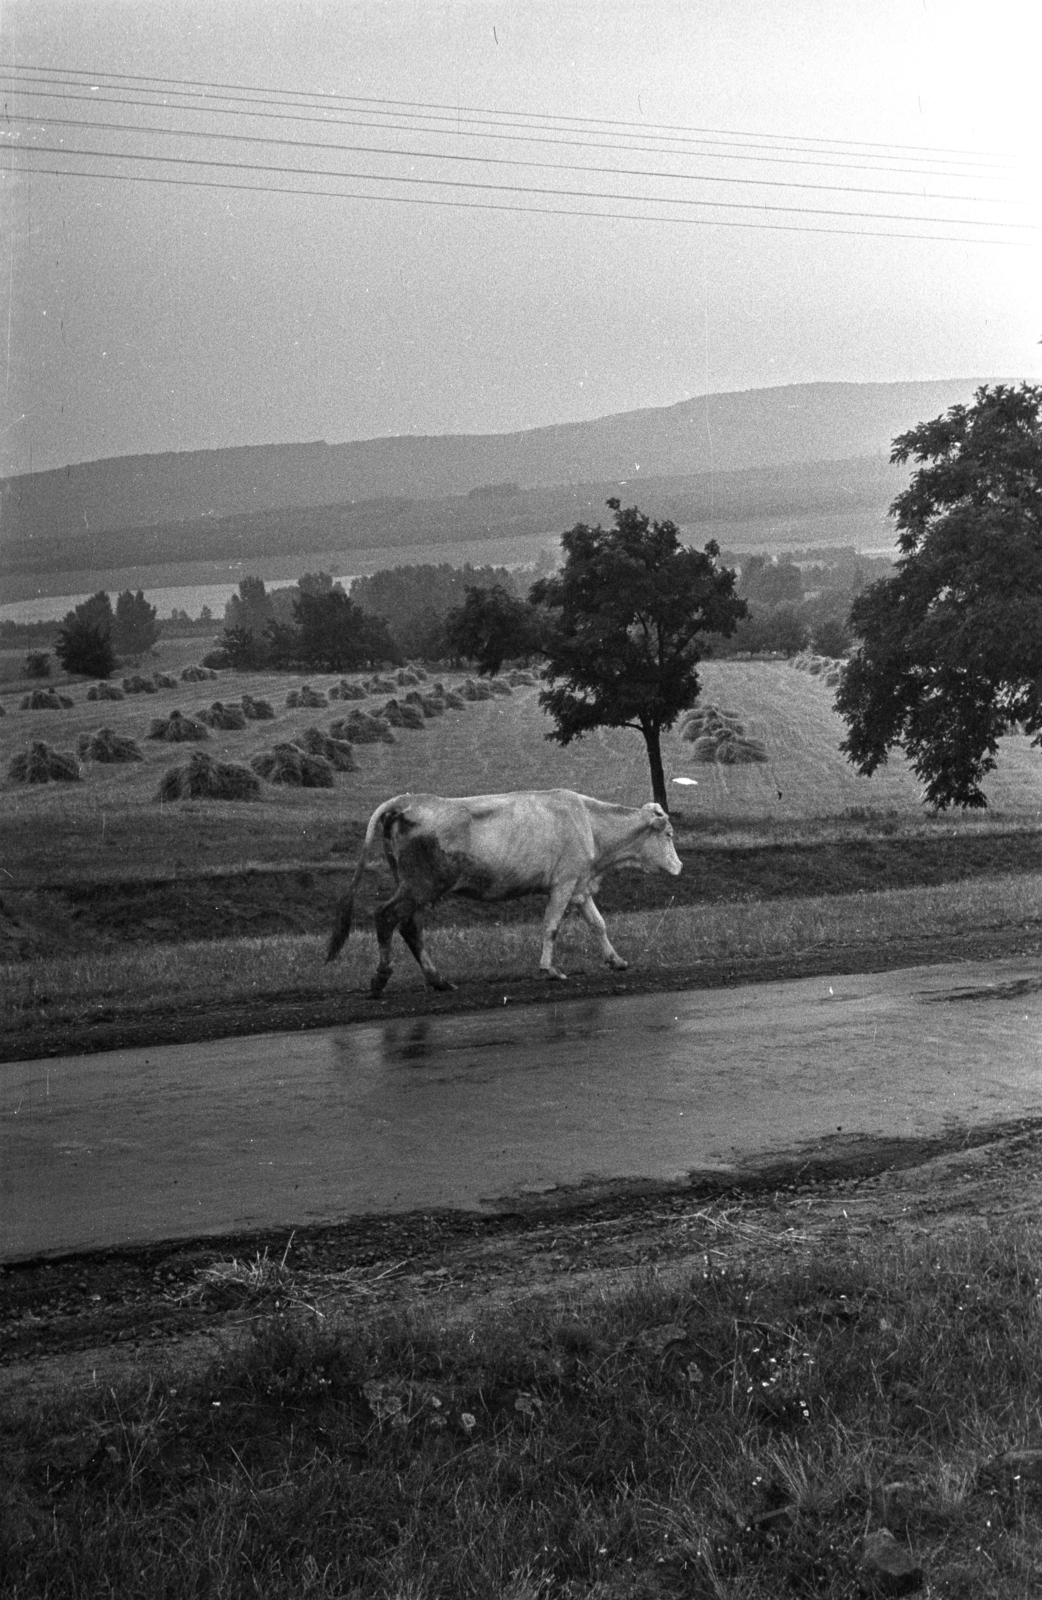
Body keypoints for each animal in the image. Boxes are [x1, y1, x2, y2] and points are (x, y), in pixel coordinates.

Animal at [326, 784, 685, 992]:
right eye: (668, 835)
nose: (679, 866)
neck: (590, 823)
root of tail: (408, 801)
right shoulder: (564, 883)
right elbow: (551, 926)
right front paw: (549, 969)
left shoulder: (580, 885)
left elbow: (598, 924)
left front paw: (616, 961)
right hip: (420, 885)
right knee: (386, 916)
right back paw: (381, 976)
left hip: (413, 886)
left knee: (409, 927)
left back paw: (438, 980)